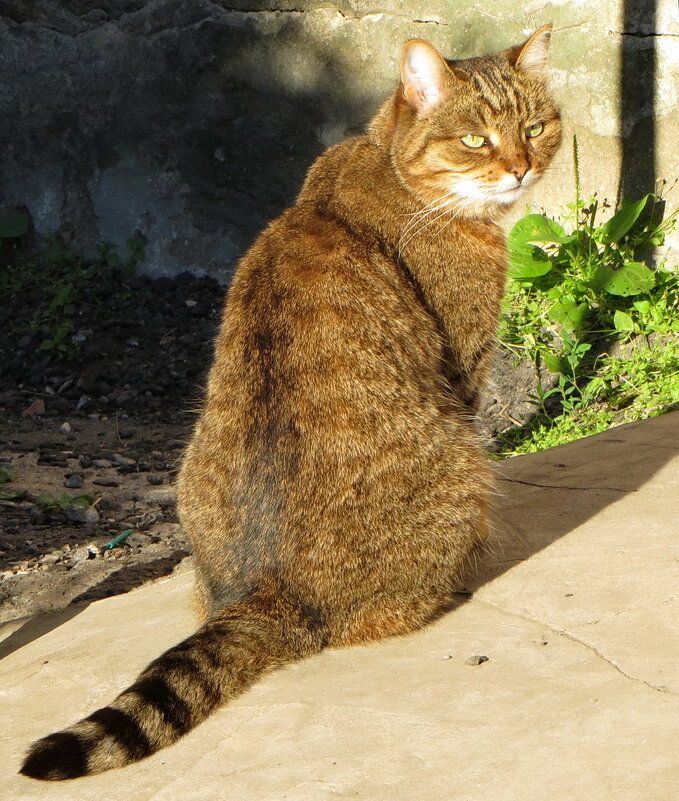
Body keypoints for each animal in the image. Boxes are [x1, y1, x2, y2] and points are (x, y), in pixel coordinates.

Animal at [21, 23, 564, 776]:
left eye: (534, 127)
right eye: (476, 139)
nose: (520, 167)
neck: (385, 162)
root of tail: (266, 594)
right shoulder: (466, 366)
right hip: (461, 463)